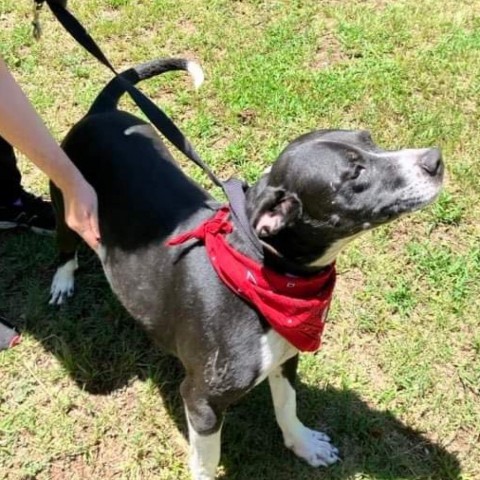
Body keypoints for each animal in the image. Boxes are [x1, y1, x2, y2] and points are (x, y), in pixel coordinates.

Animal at [48, 57, 442, 480]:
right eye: (355, 175)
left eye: (370, 140)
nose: (435, 159)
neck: (271, 275)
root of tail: (101, 112)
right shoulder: (201, 402)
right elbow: (207, 462)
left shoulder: (285, 358)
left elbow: (287, 407)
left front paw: (304, 445)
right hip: (65, 204)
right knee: (65, 246)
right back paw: (63, 279)